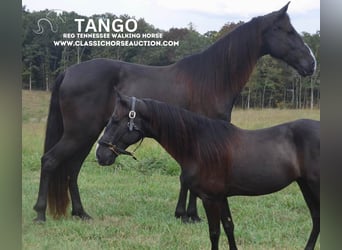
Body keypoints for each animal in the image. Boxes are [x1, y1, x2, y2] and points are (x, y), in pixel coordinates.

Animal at [32, 2, 316, 223]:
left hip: (89, 135)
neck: (210, 79)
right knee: (50, 161)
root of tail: (69, 71)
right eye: (288, 31)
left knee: (72, 169)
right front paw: (191, 215)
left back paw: (80, 213)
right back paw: (40, 214)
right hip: (80, 133)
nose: (311, 63)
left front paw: (186, 213)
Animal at [96, 94, 320, 250]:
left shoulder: (210, 199)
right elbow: (229, 227)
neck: (199, 145)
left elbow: (214, 233)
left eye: (115, 120)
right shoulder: (221, 197)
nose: (100, 154)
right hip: (306, 187)